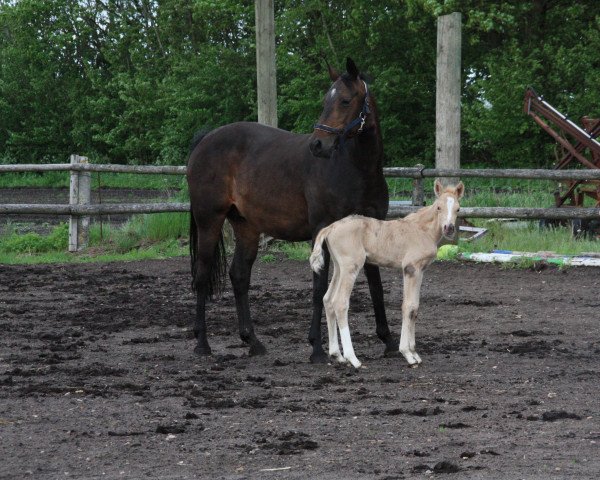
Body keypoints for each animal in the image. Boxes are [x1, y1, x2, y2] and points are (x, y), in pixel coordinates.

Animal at [185, 57, 396, 360]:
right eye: (325, 100)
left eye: (345, 101)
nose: (318, 145)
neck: (357, 169)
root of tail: (204, 140)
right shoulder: (321, 229)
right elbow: (319, 286)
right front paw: (317, 347)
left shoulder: (369, 229)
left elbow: (375, 285)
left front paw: (389, 341)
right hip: (209, 221)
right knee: (202, 275)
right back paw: (202, 343)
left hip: (246, 226)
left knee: (239, 276)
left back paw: (253, 341)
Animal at [310, 180, 464, 368]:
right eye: (439, 207)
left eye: (458, 209)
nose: (449, 228)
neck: (422, 229)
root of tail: (331, 227)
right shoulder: (410, 268)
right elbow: (408, 306)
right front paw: (408, 354)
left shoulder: (421, 270)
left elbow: (415, 307)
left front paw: (415, 353)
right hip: (350, 267)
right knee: (339, 302)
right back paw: (353, 359)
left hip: (339, 267)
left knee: (328, 299)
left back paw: (337, 355)